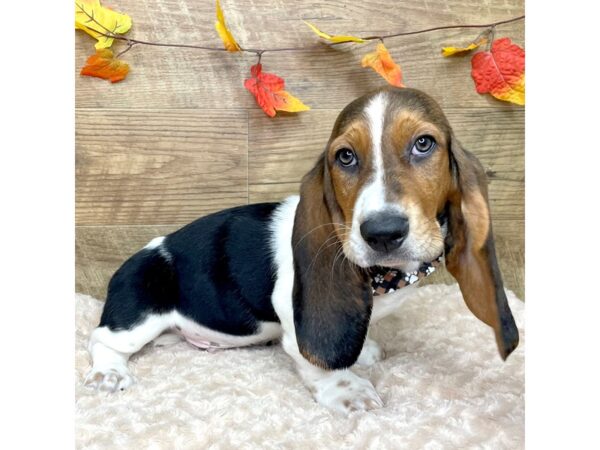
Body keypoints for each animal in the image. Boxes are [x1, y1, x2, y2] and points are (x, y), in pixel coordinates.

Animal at [85, 87, 520, 414]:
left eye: (424, 144)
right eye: (345, 156)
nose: (382, 233)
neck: (386, 277)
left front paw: (361, 352)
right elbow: (317, 361)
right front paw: (347, 389)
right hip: (139, 316)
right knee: (102, 341)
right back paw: (108, 374)